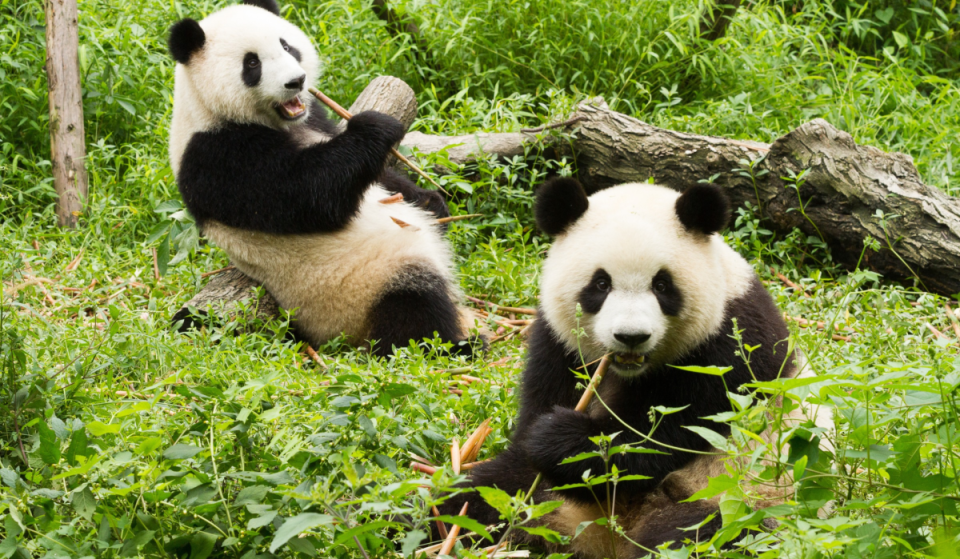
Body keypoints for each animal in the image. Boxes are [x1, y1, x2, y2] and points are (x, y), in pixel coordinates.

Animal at [167, 0, 479, 357]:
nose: (296, 81)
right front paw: (374, 126)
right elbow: (312, 195)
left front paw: (430, 200)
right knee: (413, 308)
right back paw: (455, 345)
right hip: (361, 286)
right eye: (252, 63)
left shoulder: (312, 117)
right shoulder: (216, 157)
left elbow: (377, 177)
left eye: (287, 46)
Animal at [436, 179, 829, 556]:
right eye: (600, 283)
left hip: (741, 498)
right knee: (484, 492)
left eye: (662, 285)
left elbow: (665, 436)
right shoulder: (559, 345)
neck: (630, 372)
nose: (631, 336)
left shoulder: (730, 346)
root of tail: (602, 535)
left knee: (709, 536)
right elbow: (538, 416)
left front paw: (562, 439)